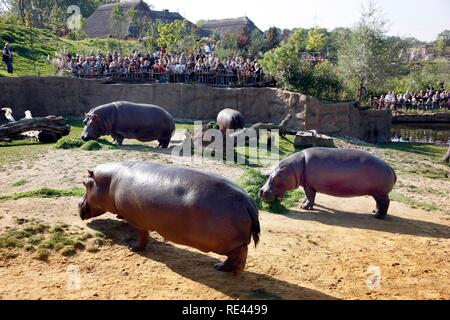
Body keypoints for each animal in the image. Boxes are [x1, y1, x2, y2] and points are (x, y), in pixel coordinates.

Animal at [79, 161, 258, 274]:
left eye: (84, 183)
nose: (79, 204)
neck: (110, 181)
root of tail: (248, 201)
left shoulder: (136, 221)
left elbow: (142, 236)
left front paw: (133, 247)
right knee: (234, 255)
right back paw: (220, 267)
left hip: (232, 243)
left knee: (241, 253)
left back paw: (230, 271)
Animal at [260, 148, 398, 220]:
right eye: (268, 175)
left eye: (277, 177)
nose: (262, 191)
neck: (295, 167)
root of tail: (390, 168)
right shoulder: (308, 185)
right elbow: (308, 196)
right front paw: (304, 204)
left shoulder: (309, 185)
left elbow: (310, 196)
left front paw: (304, 207)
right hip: (377, 192)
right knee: (379, 202)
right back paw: (374, 212)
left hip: (380, 193)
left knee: (385, 203)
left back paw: (379, 216)